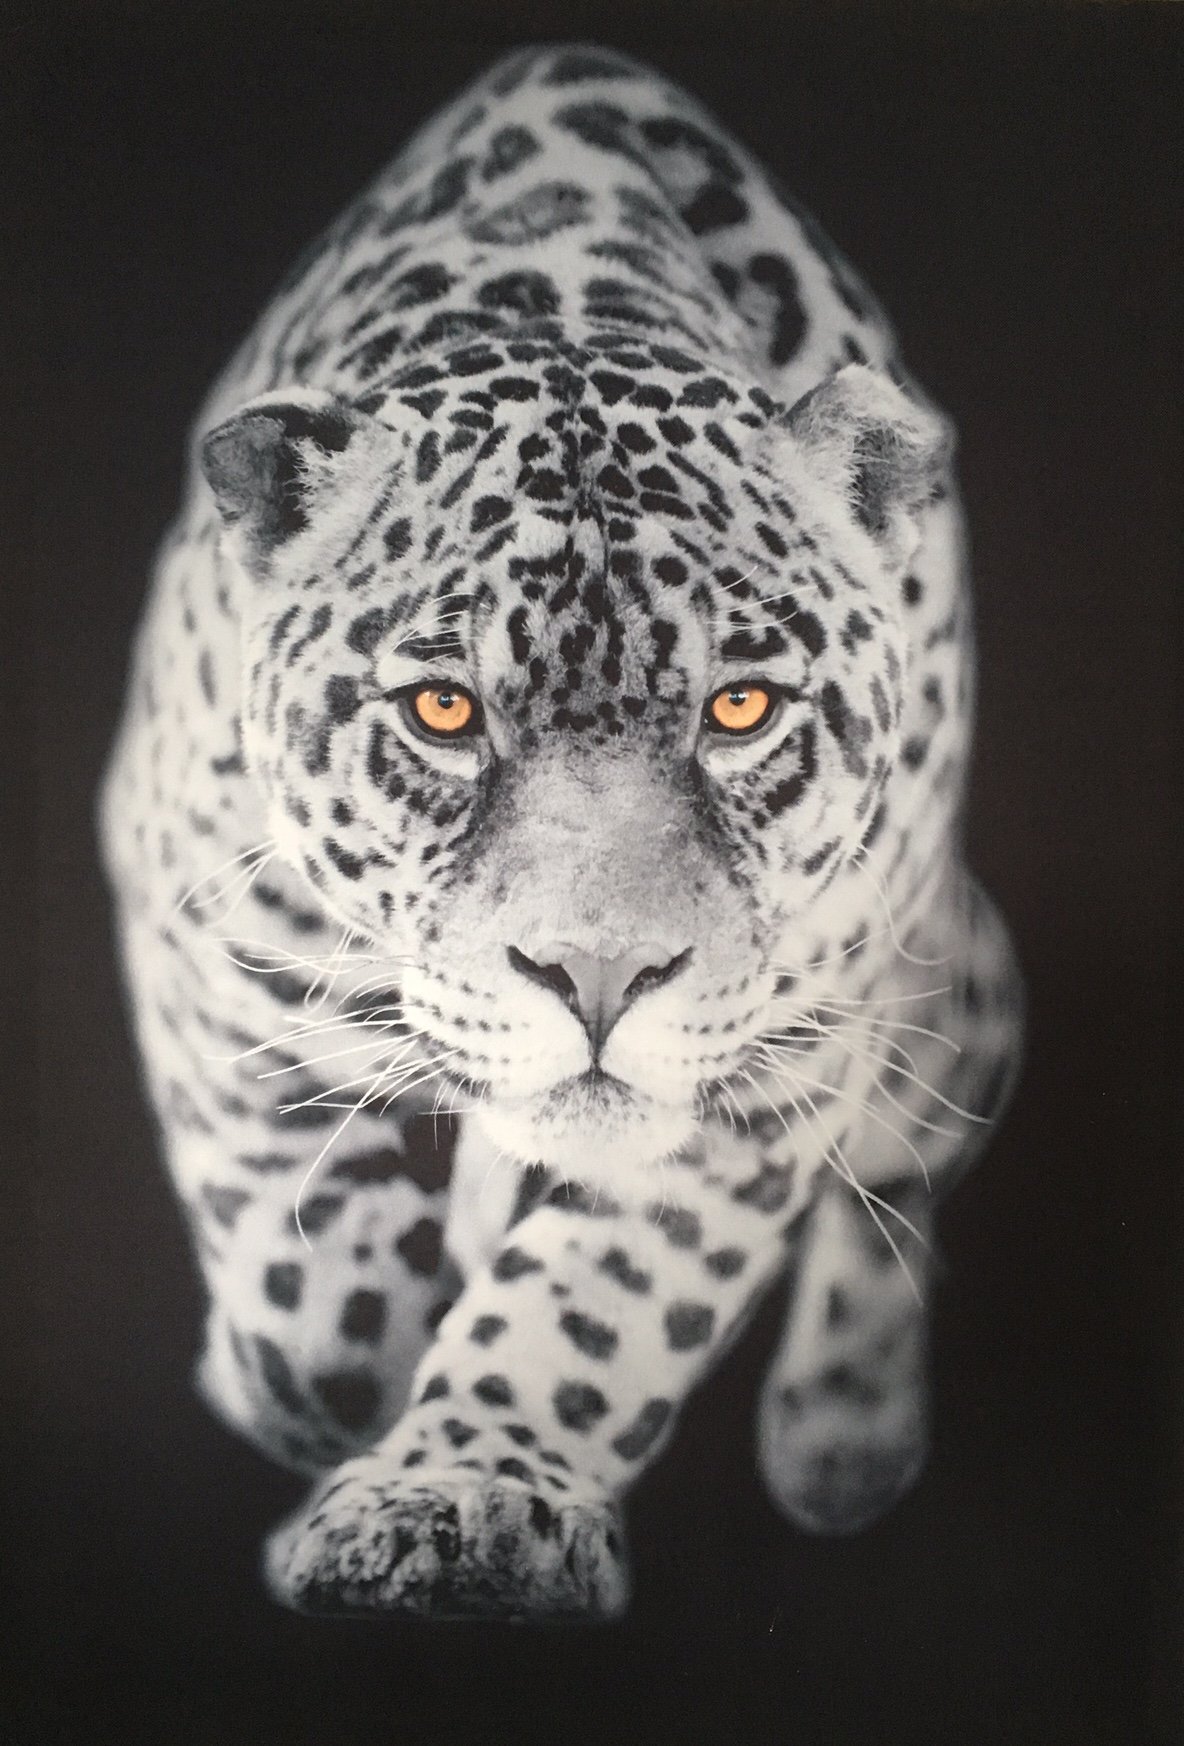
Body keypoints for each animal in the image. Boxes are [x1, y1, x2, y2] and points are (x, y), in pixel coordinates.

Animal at [99, 43, 1023, 1622]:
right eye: (444, 709)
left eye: (740, 705)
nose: (598, 981)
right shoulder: (194, 907)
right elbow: (303, 1254)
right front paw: (304, 1387)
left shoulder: (782, 1048)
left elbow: (603, 1299)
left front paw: (467, 1497)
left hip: (946, 994)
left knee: (897, 1190)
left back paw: (842, 1444)